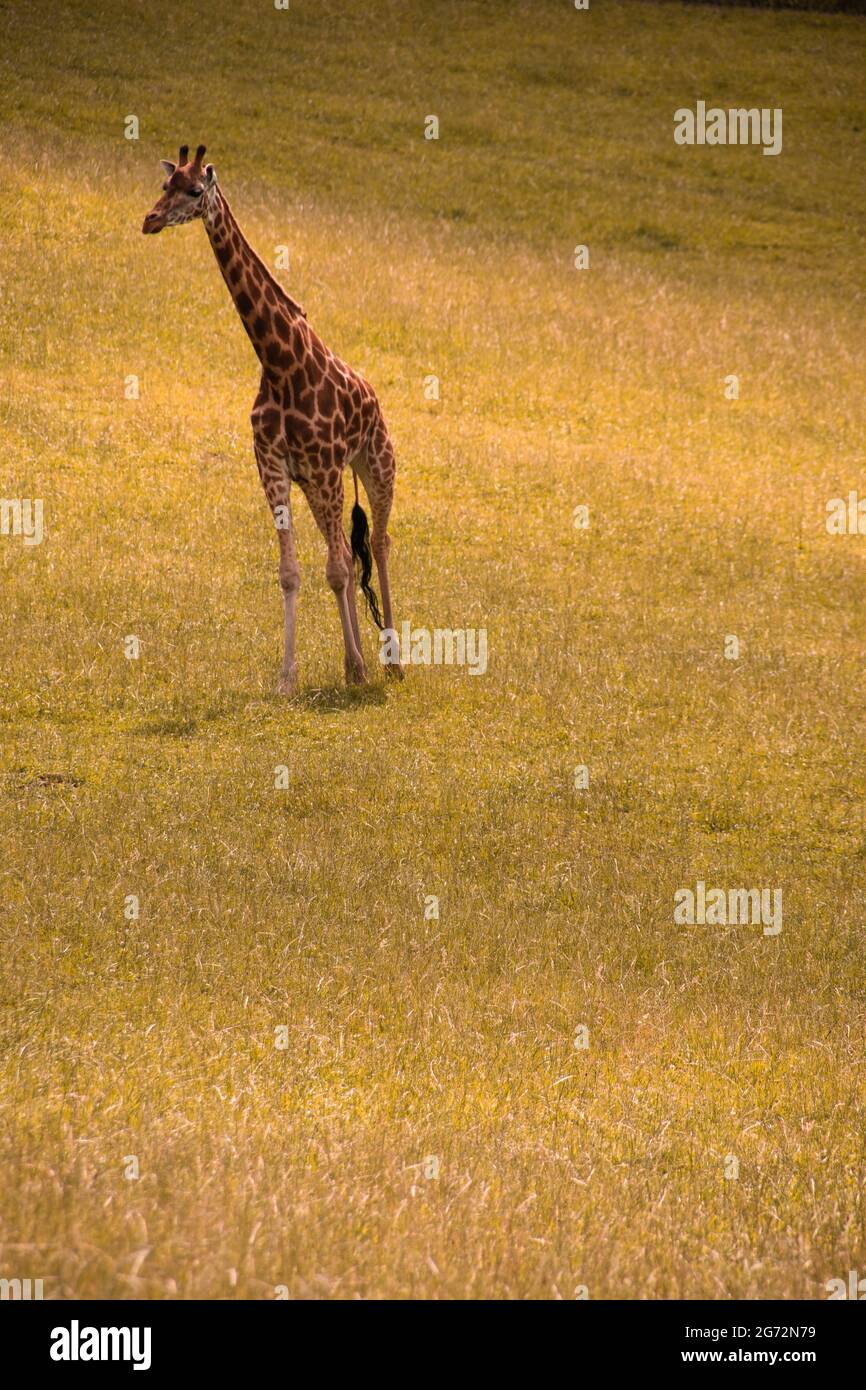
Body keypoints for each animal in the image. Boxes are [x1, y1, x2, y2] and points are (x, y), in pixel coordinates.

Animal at [142, 143, 403, 695]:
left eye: (193, 190)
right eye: (163, 185)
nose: (149, 220)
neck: (281, 362)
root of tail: (373, 397)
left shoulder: (323, 468)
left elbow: (337, 569)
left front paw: (356, 665)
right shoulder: (275, 468)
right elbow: (294, 572)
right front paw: (288, 677)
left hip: (376, 464)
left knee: (379, 543)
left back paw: (391, 661)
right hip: (321, 485)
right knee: (347, 548)